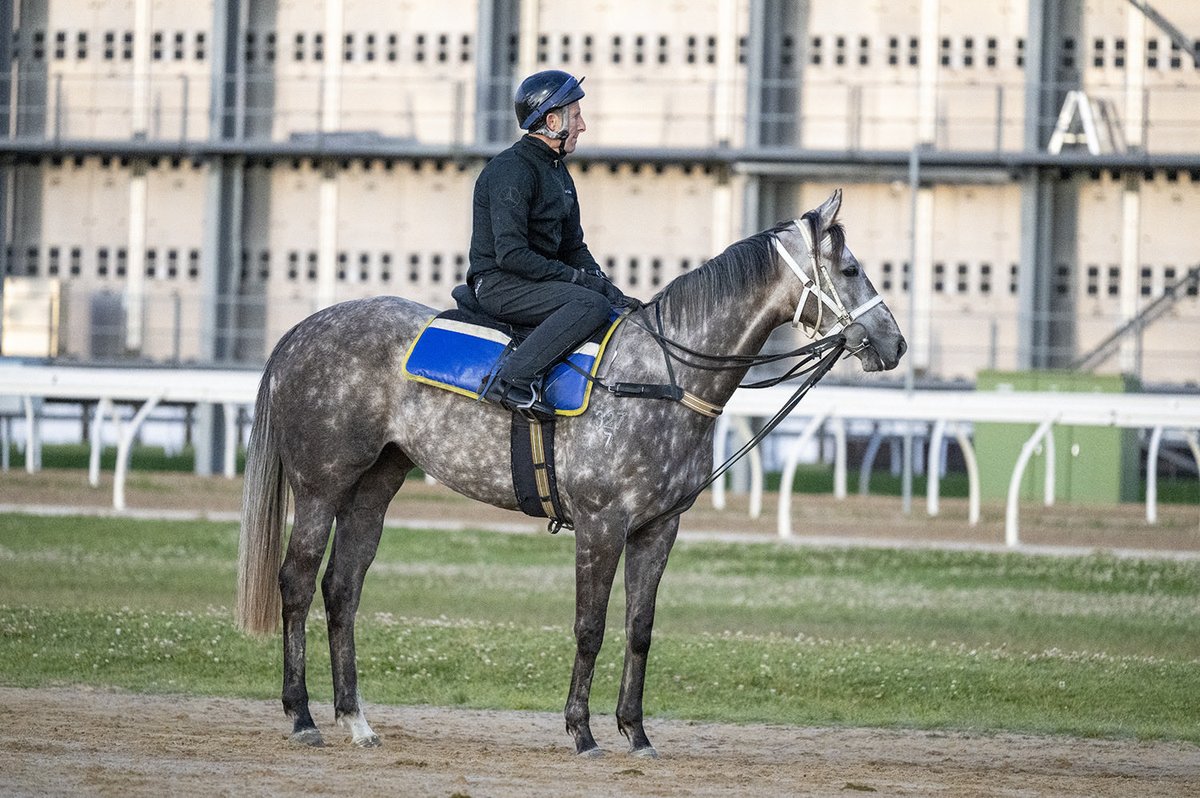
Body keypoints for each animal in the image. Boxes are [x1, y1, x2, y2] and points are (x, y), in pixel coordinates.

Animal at [236, 188, 906, 757]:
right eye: (851, 270)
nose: (894, 343)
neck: (658, 377)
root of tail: (300, 332)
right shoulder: (601, 527)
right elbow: (590, 627)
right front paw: (581, 730)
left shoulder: (658, 529)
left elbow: (639, 628)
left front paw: (636, 731)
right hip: (321, 487)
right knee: (297, 582)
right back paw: (302, 716)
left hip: (373, 490)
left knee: (341, 589)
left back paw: (356, 719)